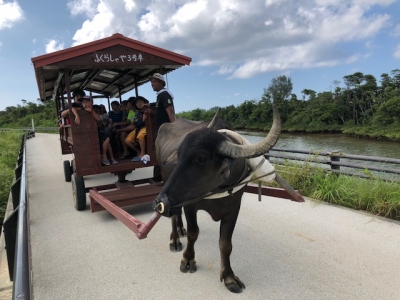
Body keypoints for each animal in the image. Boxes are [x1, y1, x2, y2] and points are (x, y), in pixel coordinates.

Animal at [153, 108, 282, 292]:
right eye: (179, 155)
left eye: (201, 158)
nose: (160, 202)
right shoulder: (190, 206)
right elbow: (193, 233)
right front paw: (187, 260)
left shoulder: (234, 208)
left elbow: (226, 244)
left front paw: (229, 277)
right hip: (166, 183)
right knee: (173, 216)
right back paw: (175, 240)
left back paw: (180, 229)